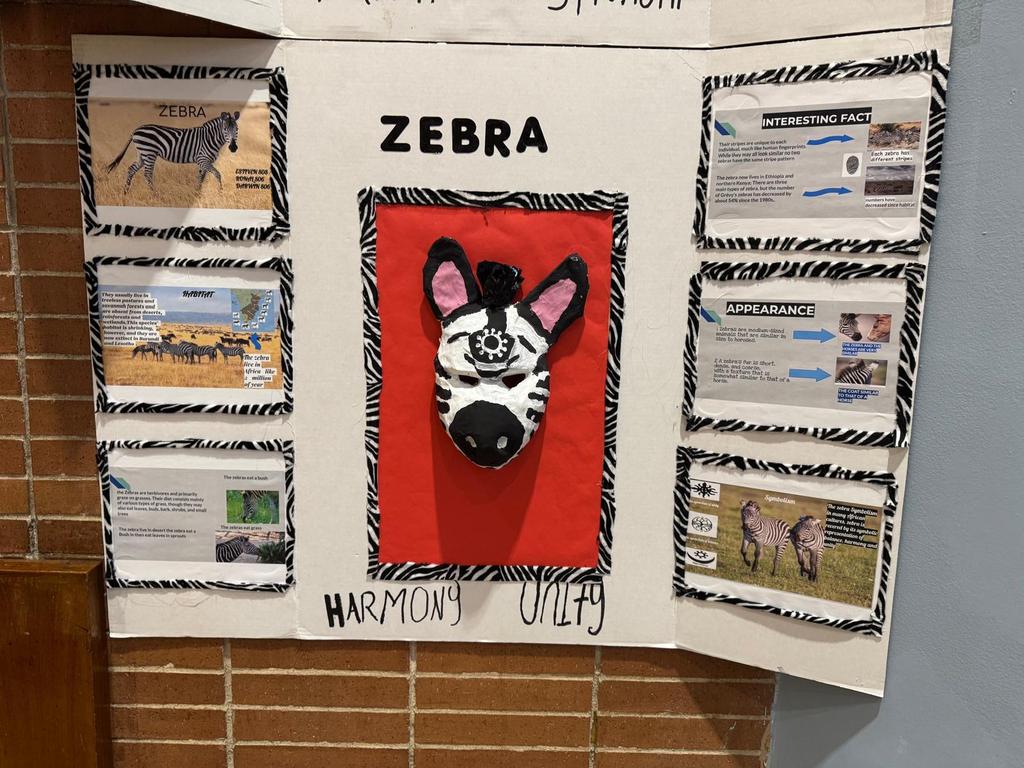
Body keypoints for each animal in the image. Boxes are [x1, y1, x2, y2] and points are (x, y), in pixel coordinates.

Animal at [105, 111, 240, 194]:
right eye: (225, 129)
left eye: (237, 129)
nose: (233, 148)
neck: (210, 138)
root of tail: (136, 130)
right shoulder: (202, 159)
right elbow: (217, 174)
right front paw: (220, 192)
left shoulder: (204, 162)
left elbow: (201, 178)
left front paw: (197, 194)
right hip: (149, 153)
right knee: (147, 174)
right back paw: (155, 196)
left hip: (142, 154)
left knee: (131, 169)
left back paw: (125, 192)